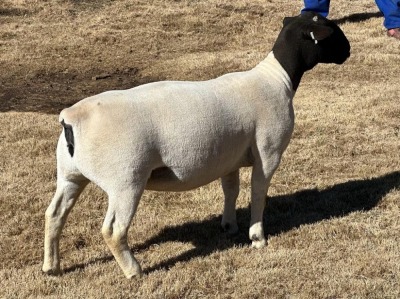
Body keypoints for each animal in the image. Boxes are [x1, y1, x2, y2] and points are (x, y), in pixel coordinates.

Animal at [43, 11, 350, 278]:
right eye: (330, 30)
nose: (348, 51)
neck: (276, 79)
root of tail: (72, 117)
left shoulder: (229, 157)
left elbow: (231, 190)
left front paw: (229, 226)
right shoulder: (269, 152)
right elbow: (258, 192)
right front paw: (257, 237)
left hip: (70, 174)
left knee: (54, 214)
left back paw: (51, 267)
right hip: (126, 180)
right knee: (113, 230)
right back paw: (134, 271)